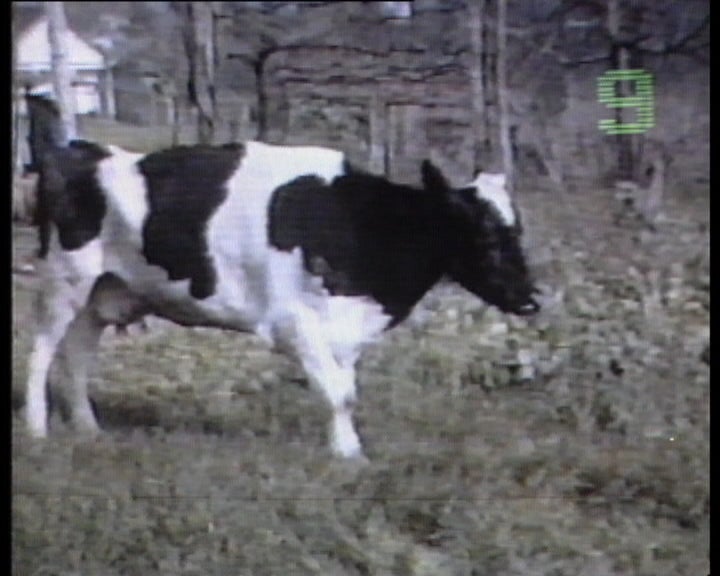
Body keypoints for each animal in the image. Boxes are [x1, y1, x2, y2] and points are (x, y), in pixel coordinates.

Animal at [24, 139, 540, 459]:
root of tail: (82, 151)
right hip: (63, 281)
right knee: (41, 351)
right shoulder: (294, 322)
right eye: (483, 233)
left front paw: (345, 446)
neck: (360, 223)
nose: (532, 299)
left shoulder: (346, 327)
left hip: (103, 292)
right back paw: (36, 429)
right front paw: (349, 456)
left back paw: (88, 429)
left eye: (517, 228)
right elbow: (337, 393)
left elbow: (345, 389)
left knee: (76, 355)